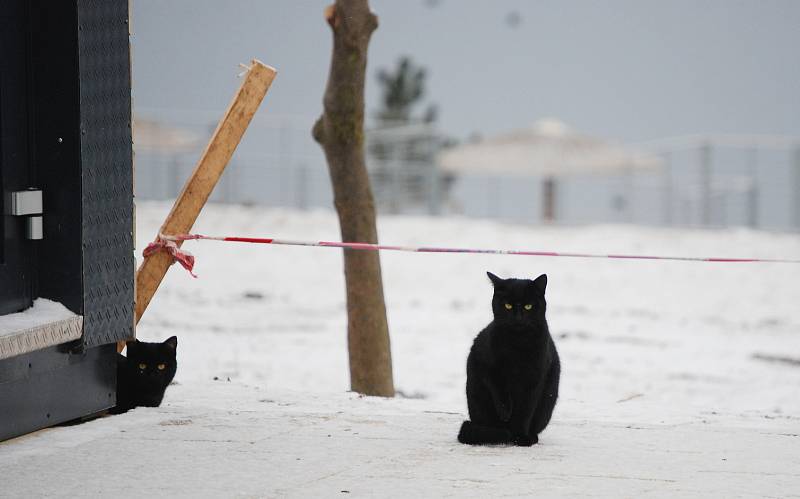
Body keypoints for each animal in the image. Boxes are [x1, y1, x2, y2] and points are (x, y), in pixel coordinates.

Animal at [456, 274, 564, 450]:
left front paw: (520, 437)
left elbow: (524, 412)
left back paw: (529, 437)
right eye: (507, 305)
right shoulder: (486, 365)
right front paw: (505, 412)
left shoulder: (533, 381)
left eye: (528, 306)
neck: (517, 345)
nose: (518, 317)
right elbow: (498, 388)